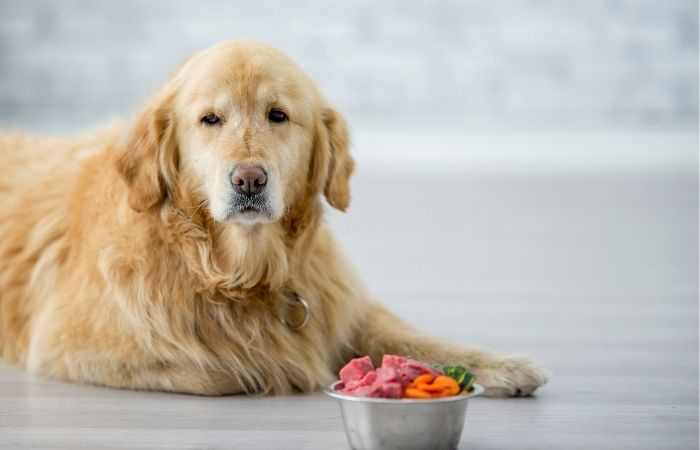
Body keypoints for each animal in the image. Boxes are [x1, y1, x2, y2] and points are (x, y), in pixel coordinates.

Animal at [0, 40, 548, 396]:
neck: (237, 272)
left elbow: (412, 337)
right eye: (210, 119)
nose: (249, 180)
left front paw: (504, 365)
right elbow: (224, 367)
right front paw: (276, 367)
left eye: (278, 115)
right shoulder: (66, 345)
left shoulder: (340, 305)